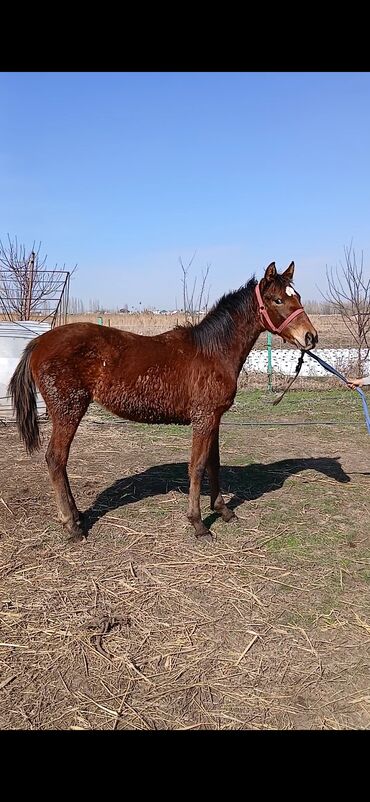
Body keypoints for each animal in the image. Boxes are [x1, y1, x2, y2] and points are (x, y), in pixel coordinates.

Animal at [7, 260, 318, 540]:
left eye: (299, 297)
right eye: (278, 299)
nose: (310, 337)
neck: (213, 351)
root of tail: (38, 342)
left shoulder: (214, 418)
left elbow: (214, 462)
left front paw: (223, 510)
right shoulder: (203, 419)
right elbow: (197, 466)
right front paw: (198, 524)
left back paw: (76, 516)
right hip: (68, 411)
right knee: (56, 459)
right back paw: (72, 526)